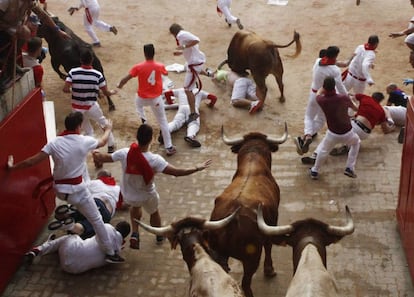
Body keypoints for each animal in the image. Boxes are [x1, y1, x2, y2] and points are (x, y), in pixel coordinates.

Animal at [207, 122, 288, 296]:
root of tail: (232, 220)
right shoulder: (272, 224)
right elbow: (269, 246)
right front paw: (269, 270)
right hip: (251, 258)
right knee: (246, 283)